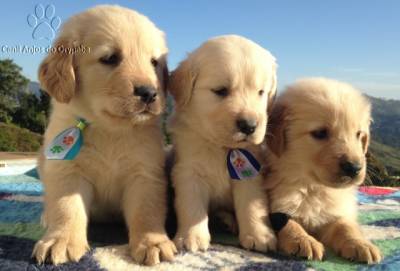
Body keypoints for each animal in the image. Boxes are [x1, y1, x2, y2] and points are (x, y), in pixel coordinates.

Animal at [31, 5, 175, 266]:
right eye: (110, 58)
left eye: (154, 62)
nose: (149, 93)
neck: (110, 130)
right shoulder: (68, 171)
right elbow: (66, 207)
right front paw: (61, 241)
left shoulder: (145, 173)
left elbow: (147, 210)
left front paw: (153, 242)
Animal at [169, 35, 278, 254]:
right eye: (221, 91)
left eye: (261, 92)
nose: (249, 125)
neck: (221, 147)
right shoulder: (188, 172)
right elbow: (191, 206)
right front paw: (191, 237)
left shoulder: (250, 174)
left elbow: (252, 206)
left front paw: (259, 235)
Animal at [266, 77, 382, 264]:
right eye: (320, 133)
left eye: (359, 134)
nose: (354, 168)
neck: (313, 188)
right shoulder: (276, 205)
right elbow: (288, 222)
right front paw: (303, 239)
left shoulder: (336, 211)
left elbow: (345, 225)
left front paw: (360, 243)